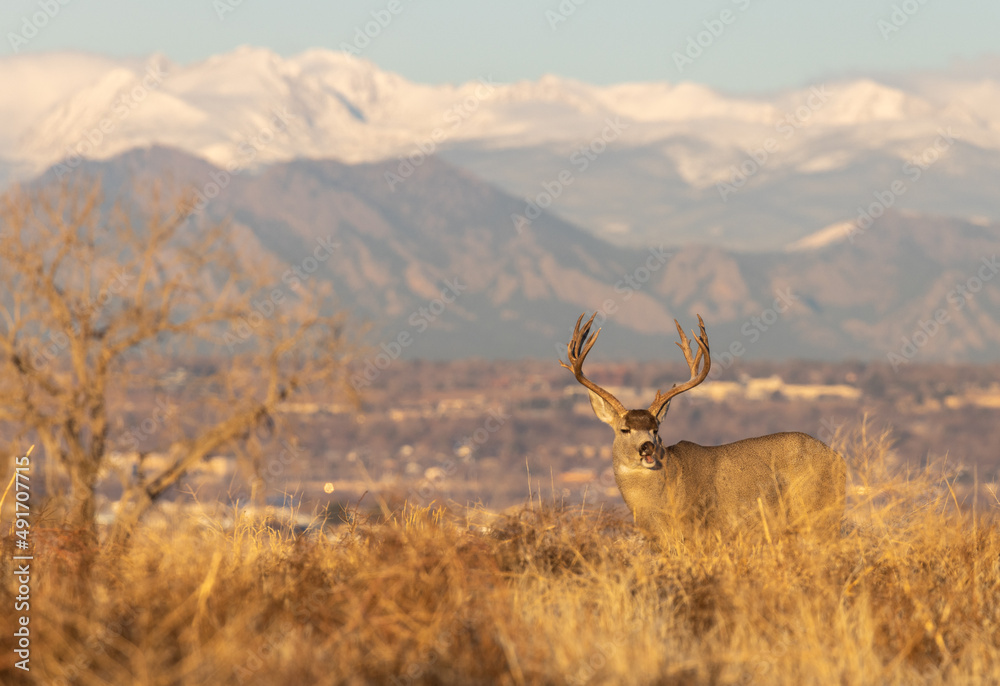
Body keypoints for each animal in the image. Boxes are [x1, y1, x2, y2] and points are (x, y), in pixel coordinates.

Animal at [561, 313, 846, 537]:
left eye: (656, 430)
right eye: (624, 429)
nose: (647, 447)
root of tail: (838, 459)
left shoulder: (701, 527)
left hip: (819, 513)